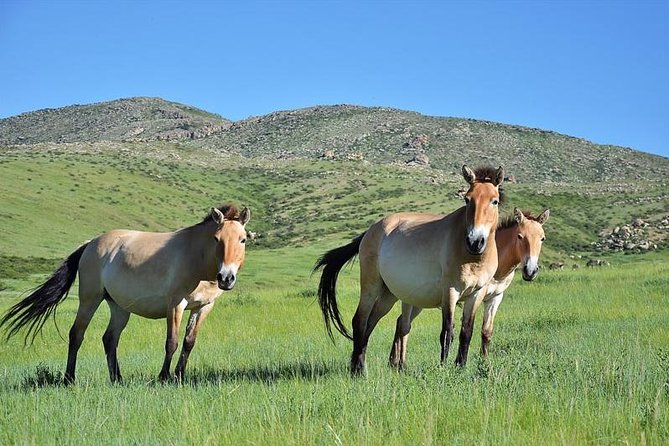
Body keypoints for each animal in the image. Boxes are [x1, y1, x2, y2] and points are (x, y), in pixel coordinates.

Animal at [0, 204, 250, 382]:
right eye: (216, 239)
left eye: (243, 239)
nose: (226, 278)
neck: (197, 258)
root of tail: (90, 243)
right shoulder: (175, 304)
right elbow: (172, 341)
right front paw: (163, 378)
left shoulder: (204, 307)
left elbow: (189, 342)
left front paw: (180, 376)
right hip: (89, 300)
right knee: (76, 335)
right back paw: (69, 379)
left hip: (119, 307)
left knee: (109, 339)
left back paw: (117, 378)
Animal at [316, 164, 504, 372]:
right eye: (467, 199)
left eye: (494, 201)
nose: (475, 241)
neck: (472, 257)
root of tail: (371, 230)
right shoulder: (450, 291)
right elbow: (447, 333)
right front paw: (443, 368)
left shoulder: (477, 294)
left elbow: (466, 333)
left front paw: (460, 367)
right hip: (371, 286)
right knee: (360, 321)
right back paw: (359, 371)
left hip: (388, 295)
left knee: (370, 323)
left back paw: (358, 364)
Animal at [386, 207, 548, 368]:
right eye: (520, 236)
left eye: (542, 238)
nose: (530, 271)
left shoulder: (495, 298)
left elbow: (486, 332)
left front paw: (484, 363)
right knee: (404, 324)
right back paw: (401, 364)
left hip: (419, 302)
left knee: (400, 322)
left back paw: (393, 363)